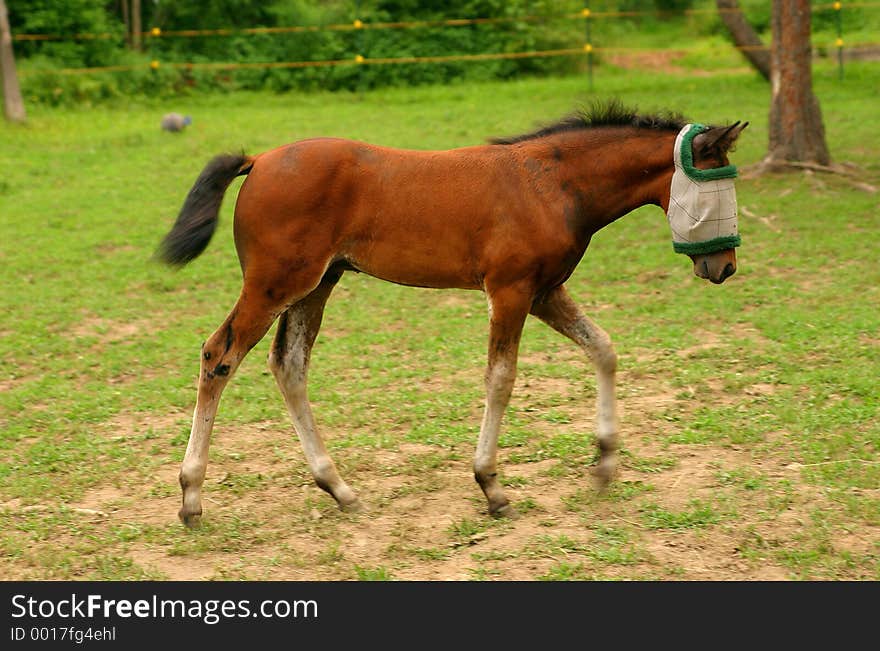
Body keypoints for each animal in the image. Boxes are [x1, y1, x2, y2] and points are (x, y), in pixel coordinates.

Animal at [160, 103, 748, 528]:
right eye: (719, 189)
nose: (723, 267)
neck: (550, 184)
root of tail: (259, 160)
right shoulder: (510, 291)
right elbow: (501, 378)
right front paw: (491, 485)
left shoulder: (545, 291)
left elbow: (602, 348)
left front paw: (604, 463)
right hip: (274, 287)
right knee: (219, 355)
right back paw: (191, 497)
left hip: (316, 286)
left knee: (289, 366)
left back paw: (339, 489)